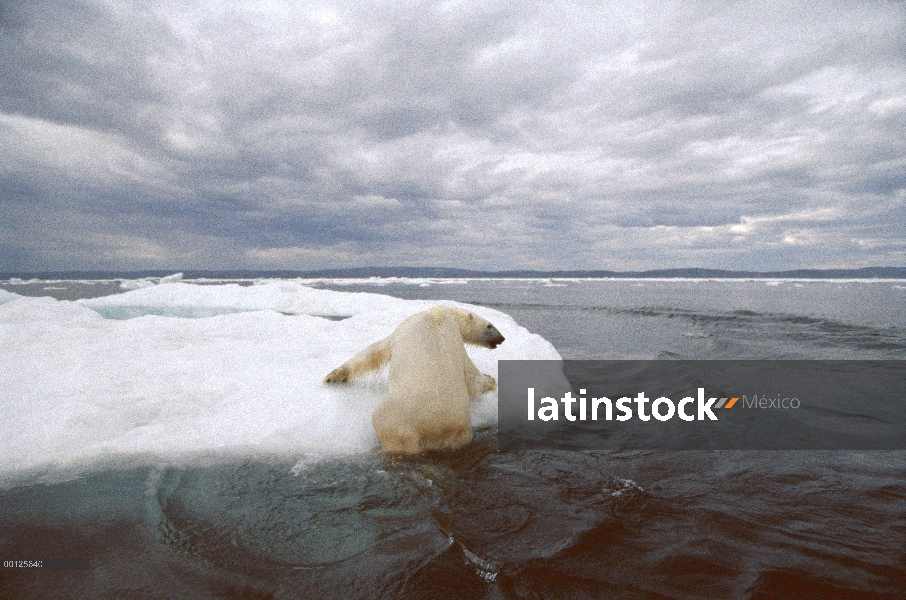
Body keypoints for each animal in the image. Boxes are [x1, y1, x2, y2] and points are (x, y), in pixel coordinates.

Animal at [324, 308, 508, 452]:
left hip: (394, 417)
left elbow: (375, 351)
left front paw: (332, 376)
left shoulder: (405, 327)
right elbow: (470, 378)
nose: (501, 338)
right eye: (490, 325)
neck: (441, 314)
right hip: (460, 431)